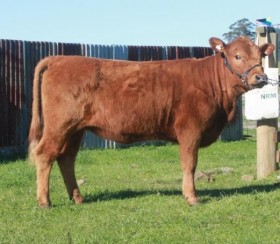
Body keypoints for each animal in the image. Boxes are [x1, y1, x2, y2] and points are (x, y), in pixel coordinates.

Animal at [28, 37, 274, 207]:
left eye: (260, 56)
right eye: (237, 56)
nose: (260, 77)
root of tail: (59, 58)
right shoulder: (190, 129)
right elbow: (189, 164)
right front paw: (191, 197)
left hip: (75, 130)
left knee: (66, 159)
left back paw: (77, 198)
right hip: (59, 126)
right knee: (45, 154)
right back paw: (44, 201)